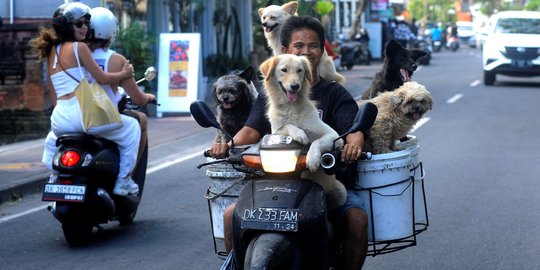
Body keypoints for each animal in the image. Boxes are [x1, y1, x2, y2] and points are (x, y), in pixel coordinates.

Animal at [260, 53, 348, 209]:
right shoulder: (275, 131)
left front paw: (312, 159)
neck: (291, 107)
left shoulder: (333, 135)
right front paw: (300, 134)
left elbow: (316, 142)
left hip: (340, 193)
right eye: (284, 70)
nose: (295, 86)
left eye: (300, 70)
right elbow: (288, 126)